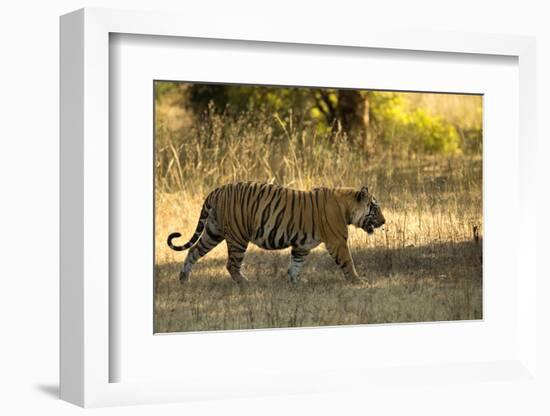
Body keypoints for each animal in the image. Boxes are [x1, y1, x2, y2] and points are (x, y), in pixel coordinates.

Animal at [168, 183, 388, 284]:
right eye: (375, 208)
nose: (385, 221)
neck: (347, 206)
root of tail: (217, 190)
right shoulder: (338, 242)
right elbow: (348, 262)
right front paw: (359, 282)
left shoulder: (301, 245)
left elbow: (296, 264)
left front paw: (296, 281)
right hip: (238, 237)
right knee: (231, 264)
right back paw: (246, 283)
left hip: (213, 232)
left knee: (193, 251)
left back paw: (184, 279)